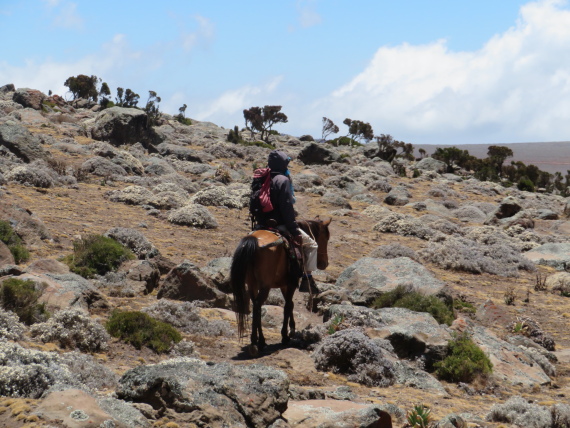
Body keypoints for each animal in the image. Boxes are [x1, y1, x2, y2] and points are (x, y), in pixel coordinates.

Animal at [230, 216, 330, 356]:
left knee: (256, 305)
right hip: (265, 286)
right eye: (326, 238)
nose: (324, 264)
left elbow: (290, 304)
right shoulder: (292, 282)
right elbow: (287, 306)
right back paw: (255, 343)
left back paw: (261, 341)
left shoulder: (284, 284)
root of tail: (253, 241)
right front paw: (285, 336)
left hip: (251, 285)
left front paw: (292, 329)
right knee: (257, 305)